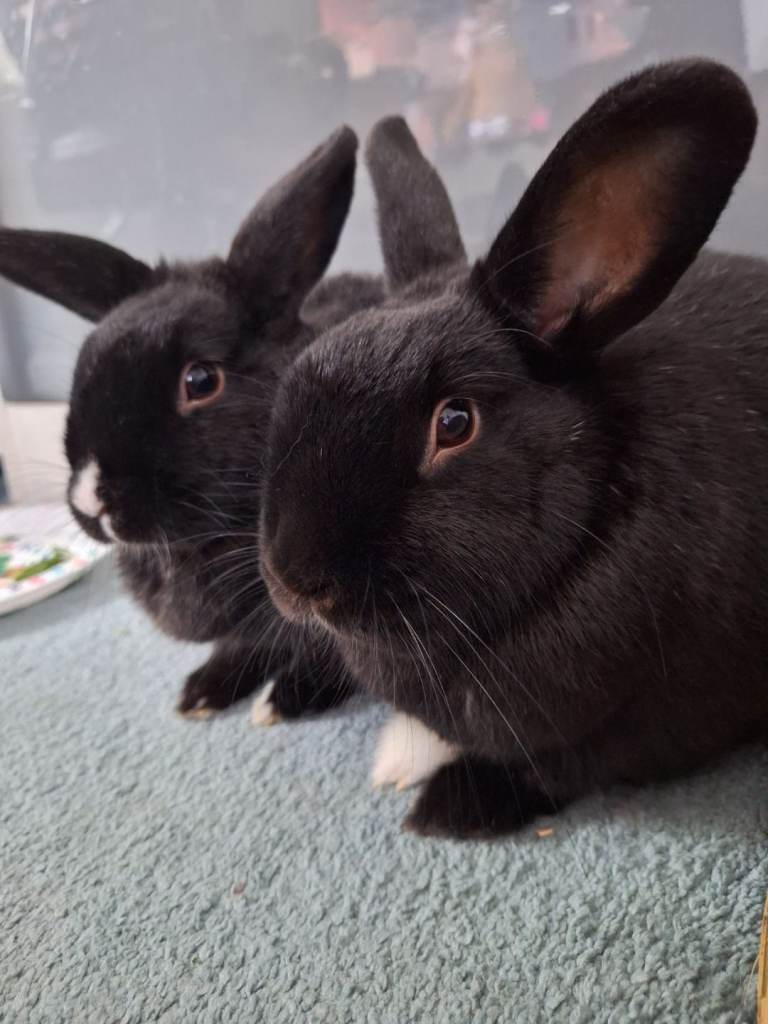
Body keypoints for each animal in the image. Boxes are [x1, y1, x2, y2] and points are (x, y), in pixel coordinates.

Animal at [0, 127, 383, 720]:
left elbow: (333, 657)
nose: (90, 499)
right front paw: (202, 693)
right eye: (83, 365)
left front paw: (284, 700)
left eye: (200, 381)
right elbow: (241, 647)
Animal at [259, 59, 768, 839]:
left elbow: (559, 767)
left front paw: (445, 806)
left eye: (454, 423)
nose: (294, 580)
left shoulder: (642, 730)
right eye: (297, 374)